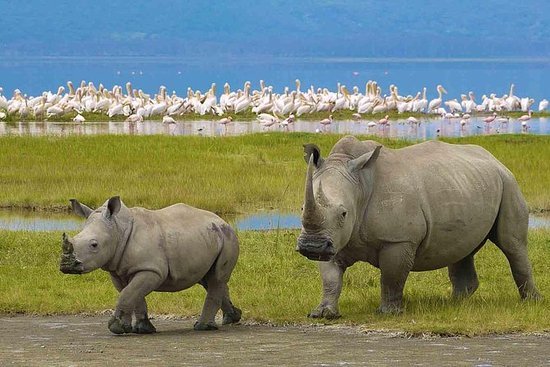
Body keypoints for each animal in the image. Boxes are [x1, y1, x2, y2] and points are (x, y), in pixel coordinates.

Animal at [59, 197, 242, 334]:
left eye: (94, 245)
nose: (65, 266)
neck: (118, 229)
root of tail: (222, 221)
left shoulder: (151, 269)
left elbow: (128, 294)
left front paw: (116, 328)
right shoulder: (119, 271)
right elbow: (133, 295)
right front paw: (139, 329)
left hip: (228, 238)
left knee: (216, 278)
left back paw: (202, 327)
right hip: (209, 237)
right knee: (209, 279)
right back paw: (232, 317)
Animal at [298, 137, 544, 318]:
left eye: (343, 213)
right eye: (301, 208)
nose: (311, 246)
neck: (360, 185)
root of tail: (495, 159)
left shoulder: (398, 240)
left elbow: (391, 277)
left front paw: (388, 313)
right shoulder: (332, 238)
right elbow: (330, 278)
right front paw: (323, 314)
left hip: (509, 183)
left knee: (512, 245)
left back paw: (532, 302)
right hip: (467, 184)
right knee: (462, 247)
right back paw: (453, 303)